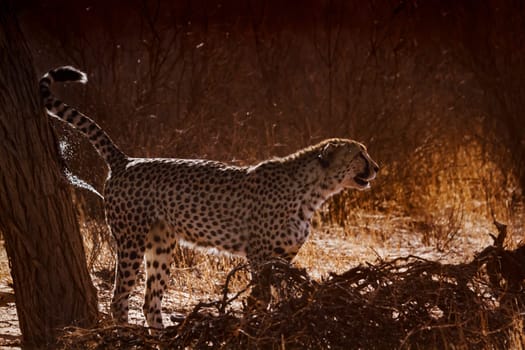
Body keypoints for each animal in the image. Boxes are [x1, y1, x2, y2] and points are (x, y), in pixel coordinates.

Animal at [40, 65, 376, 330]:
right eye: (359, 154)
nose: (376, 167)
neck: (315, 192)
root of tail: (127, 160)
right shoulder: (259, 254)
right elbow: (261, 297)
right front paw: (254, 324)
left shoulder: (283, 257)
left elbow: (276, 294)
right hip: (131, 240)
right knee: (120, 298)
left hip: (162, 245)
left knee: (150, 301)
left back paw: (162, 337)